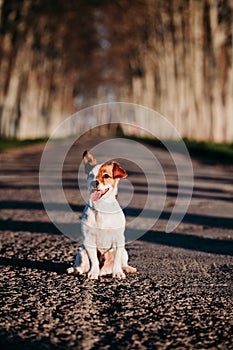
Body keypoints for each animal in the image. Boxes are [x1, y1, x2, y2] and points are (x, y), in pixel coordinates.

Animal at [67, 150, 137, 278]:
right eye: (90, 175)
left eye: (106, 176)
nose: (94, 182)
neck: (102, 207)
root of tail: (104, 271)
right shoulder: (88, 240)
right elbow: (94, 260)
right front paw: (93, 273)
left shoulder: (119, 239)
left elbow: (117, 260)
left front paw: (117, 273)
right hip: (81, 251)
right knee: (82, 265)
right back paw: (75, 269)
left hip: (124, 251)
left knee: (122, 262)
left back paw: (126, 268)